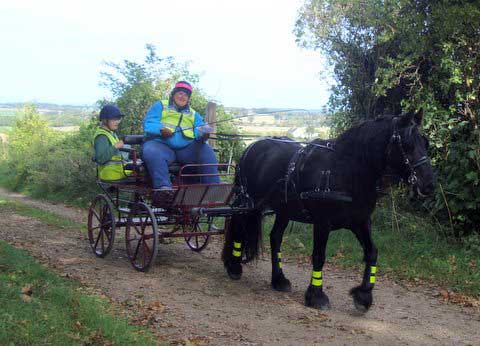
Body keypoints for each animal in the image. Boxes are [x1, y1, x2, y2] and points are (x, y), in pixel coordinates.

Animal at [222, 112, 436, 312]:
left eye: (425, 142)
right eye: (407, 143)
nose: (429, 184)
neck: (345, 171)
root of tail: (252, 146)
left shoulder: (360, 221)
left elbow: (372, 252)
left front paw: (364, 295)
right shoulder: (322, 222)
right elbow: (319, 256)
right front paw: (316, 295)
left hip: (284, 210)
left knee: (275, 238)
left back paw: (279, 279)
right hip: (247, 202)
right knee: (239, 228)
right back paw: (234, 266)